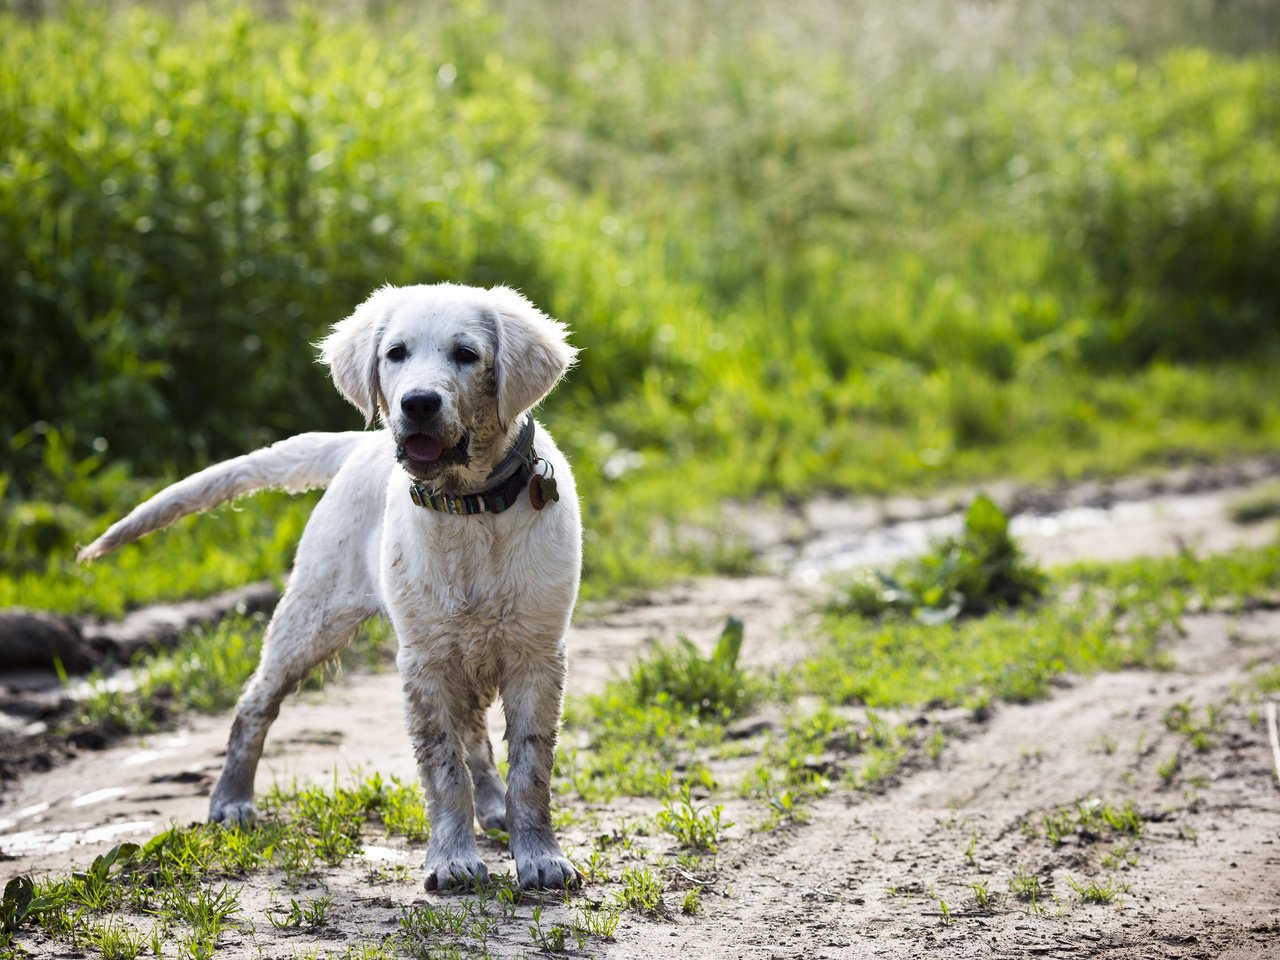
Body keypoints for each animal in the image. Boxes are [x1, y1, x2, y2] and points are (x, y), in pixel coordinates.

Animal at [77, 284, 583, 896]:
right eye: (395, 353)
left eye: (467, 354)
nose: (417, 404)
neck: (470, 507)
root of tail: (358, 448)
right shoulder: (421, 661)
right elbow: (442, 769)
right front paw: (452, 860)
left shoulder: (537, 653)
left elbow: (530, 769)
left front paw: (539, 857)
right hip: (314, 617)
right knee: (254, 704)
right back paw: (230, 801)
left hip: (456, 642)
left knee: (474, 734)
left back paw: (492, 807)